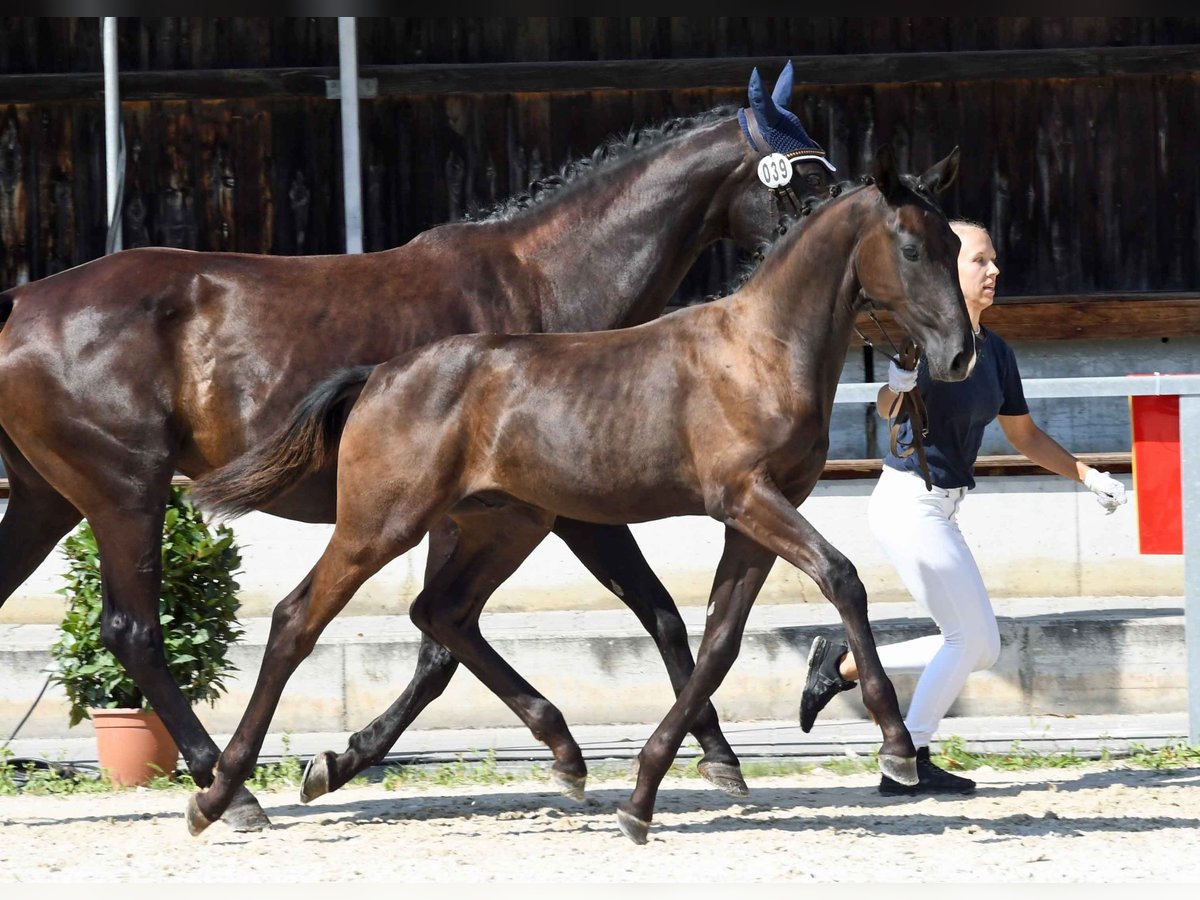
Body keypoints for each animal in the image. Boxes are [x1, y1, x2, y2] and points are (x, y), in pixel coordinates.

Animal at [187, 146, 974, 844]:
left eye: (954, 242)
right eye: (911, 248)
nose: (960, 354)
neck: (759, 349)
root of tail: (379, 374)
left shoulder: (756, 517)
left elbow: (717, 640)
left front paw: (647, 793)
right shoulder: (746, 497)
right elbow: (841, 578)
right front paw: (897, 747)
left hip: (507, 525)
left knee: (441, 613)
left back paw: (551, 755)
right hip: (382, 524)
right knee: (297, 620)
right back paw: (220, 796)